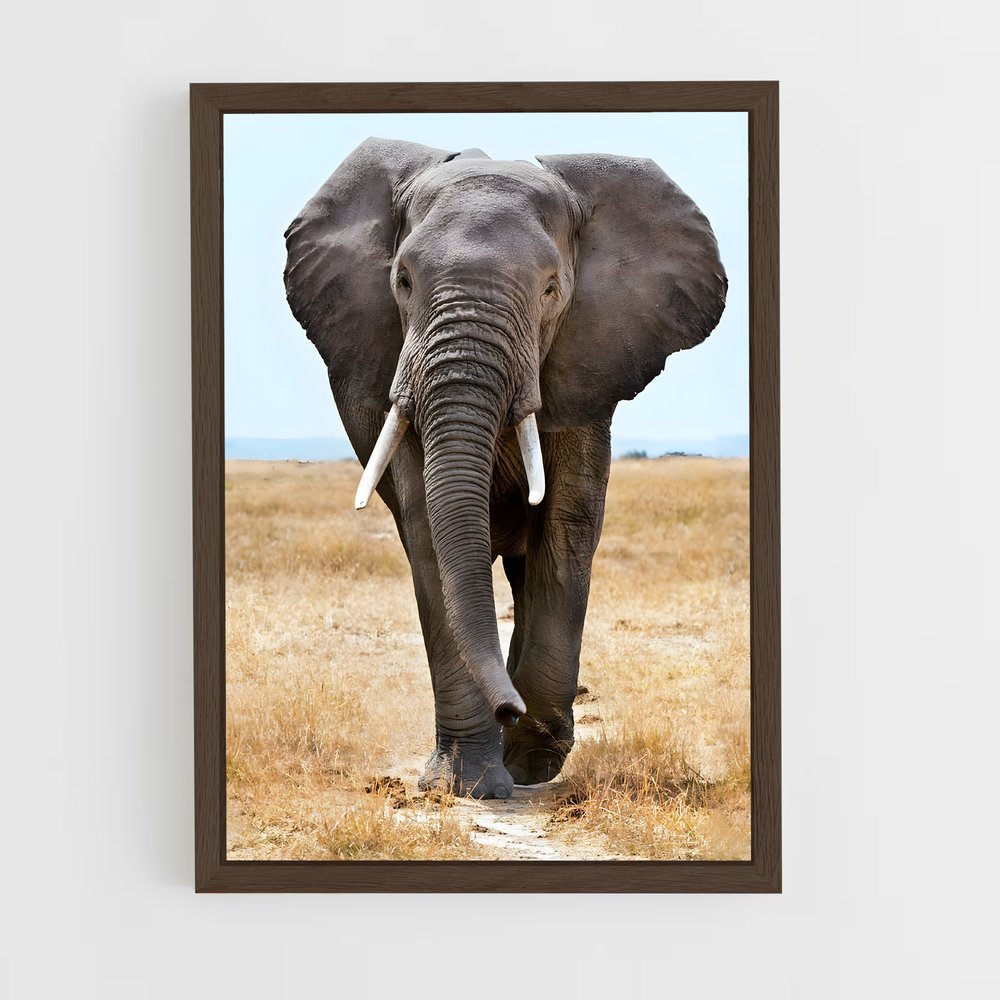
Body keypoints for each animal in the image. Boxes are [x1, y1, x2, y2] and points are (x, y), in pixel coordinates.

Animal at [283, 138, 727, 799]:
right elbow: (428, 532)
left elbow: (567, 526)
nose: (508, 709)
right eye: (402, 280)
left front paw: (532, 762)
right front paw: (466, 783)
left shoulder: (584, 365)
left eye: (551, 290)